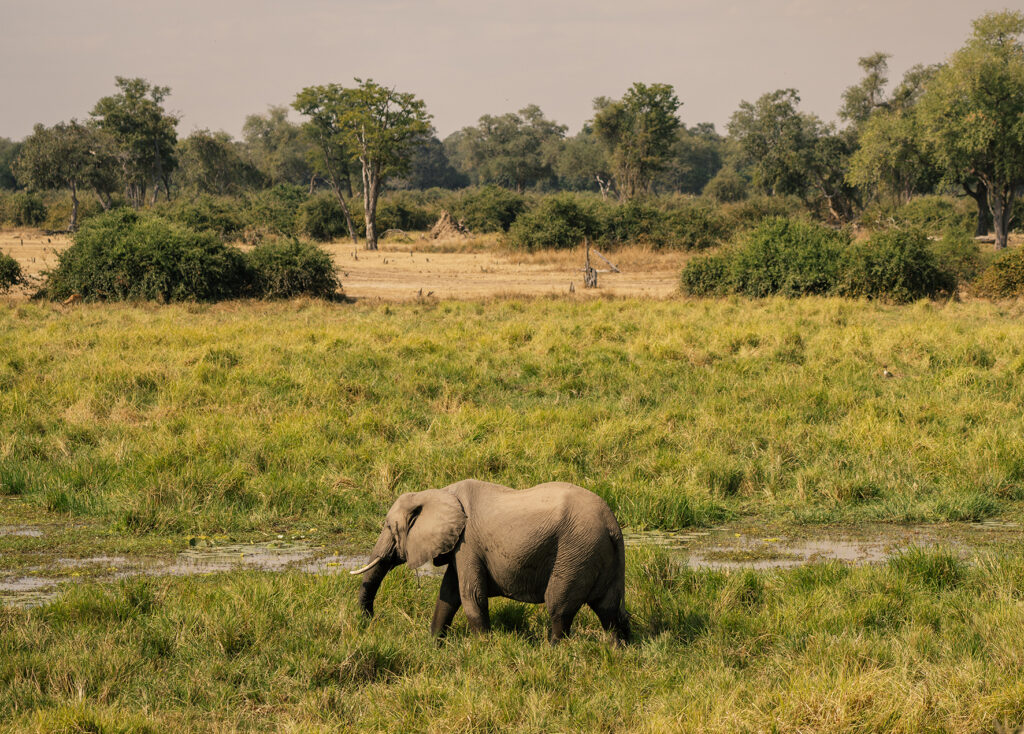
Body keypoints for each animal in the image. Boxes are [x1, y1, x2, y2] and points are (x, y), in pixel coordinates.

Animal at [350, 479, 630, 644]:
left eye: (389, 527)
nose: (372, 621)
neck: (439, 492)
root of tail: (612, 525)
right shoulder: (460, 546)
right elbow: (448, 594)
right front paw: (434, 645)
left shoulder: (467, 542)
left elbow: (470, 594)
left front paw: (484, 648)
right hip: (601, 555)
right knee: (609, 608)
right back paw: (619, 649)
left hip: (575, 551)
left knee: (558, 607)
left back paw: (554, 650)